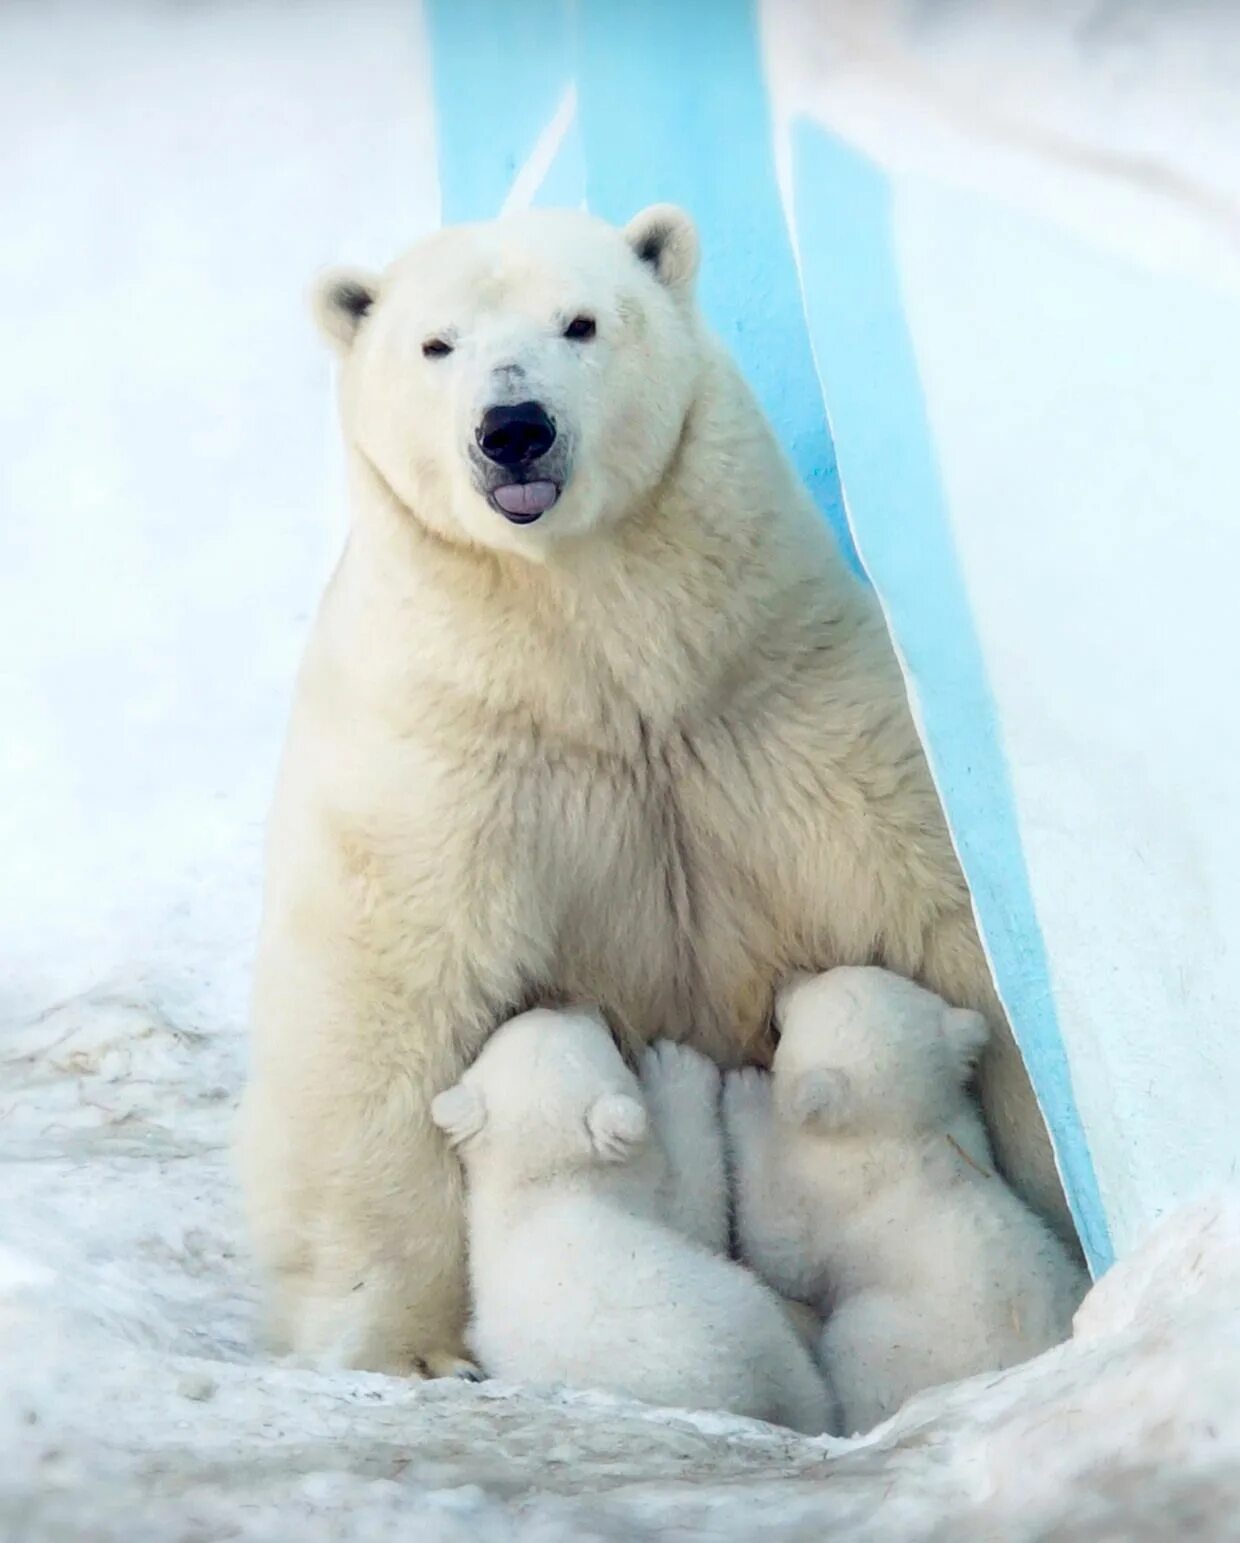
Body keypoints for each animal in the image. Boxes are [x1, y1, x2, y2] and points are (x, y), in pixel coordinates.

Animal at [239, 202, 1067, 1376]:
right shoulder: (447, 754)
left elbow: (948, 922)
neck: (607, 669)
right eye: (435, 343)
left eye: (581, 321)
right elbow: (379, 1001)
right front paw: (404, 1348)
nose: (514, 428)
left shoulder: (791, 711)